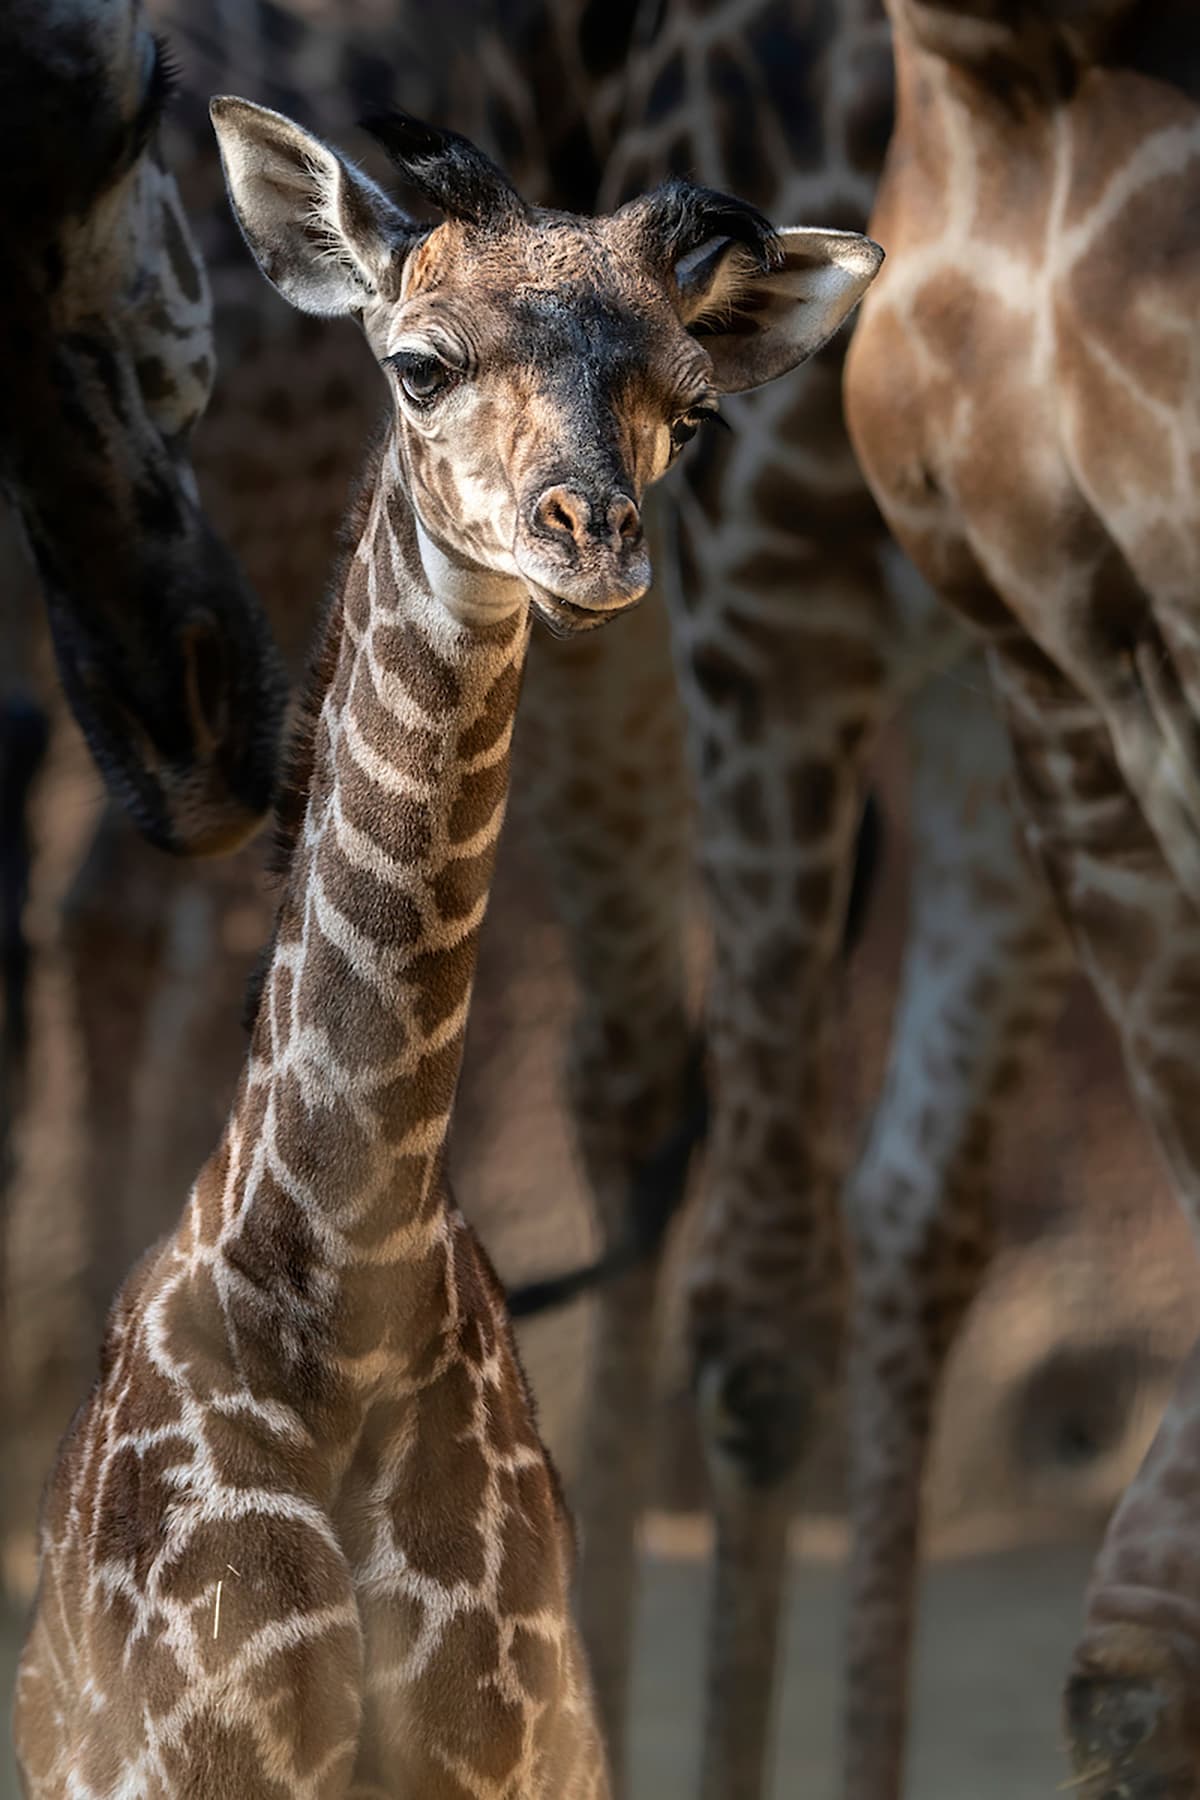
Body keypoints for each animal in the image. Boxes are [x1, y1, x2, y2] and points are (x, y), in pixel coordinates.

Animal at [21, 5, 1076, 1794]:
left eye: (691, 407)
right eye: (419, 363)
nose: (590, 535)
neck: (343, 1305)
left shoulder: (513, 1750)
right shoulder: (195, 1752)